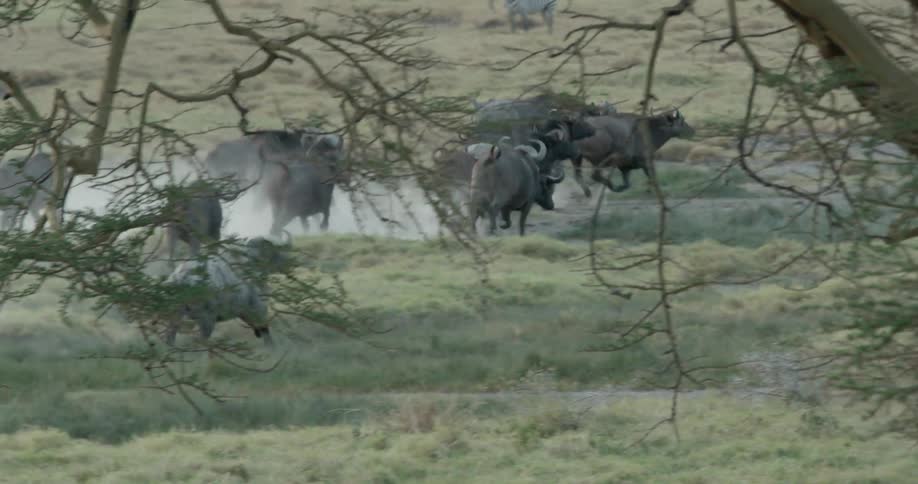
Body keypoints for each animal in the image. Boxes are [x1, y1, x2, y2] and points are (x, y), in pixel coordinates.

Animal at [161, 233, 293, 347]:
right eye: (275, 252)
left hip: (176, 316)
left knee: (170, 337)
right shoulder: (258, 309)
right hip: (206, 319)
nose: (289, 262)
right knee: (200, 341)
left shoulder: (244, 312)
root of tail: (179, 277)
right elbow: (266, 333)